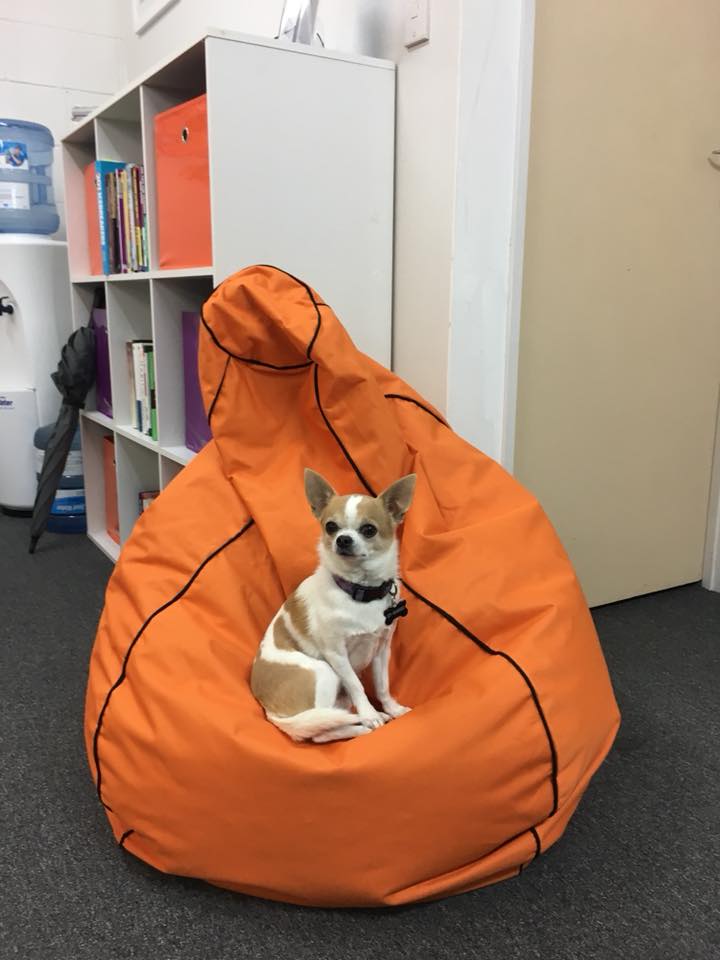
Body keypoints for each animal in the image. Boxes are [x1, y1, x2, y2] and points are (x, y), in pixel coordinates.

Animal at [250, 468, 416, 748]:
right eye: (330, 526)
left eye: (369, 529)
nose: (343, 539)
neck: (359, 592)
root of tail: (272, 713)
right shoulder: (336, 654)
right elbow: (358, 686)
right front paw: (370, 715)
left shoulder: (382, 649)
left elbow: (382, 685)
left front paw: (391, 708)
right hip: (324, 672)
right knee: (321, 733)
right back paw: (363, 727)